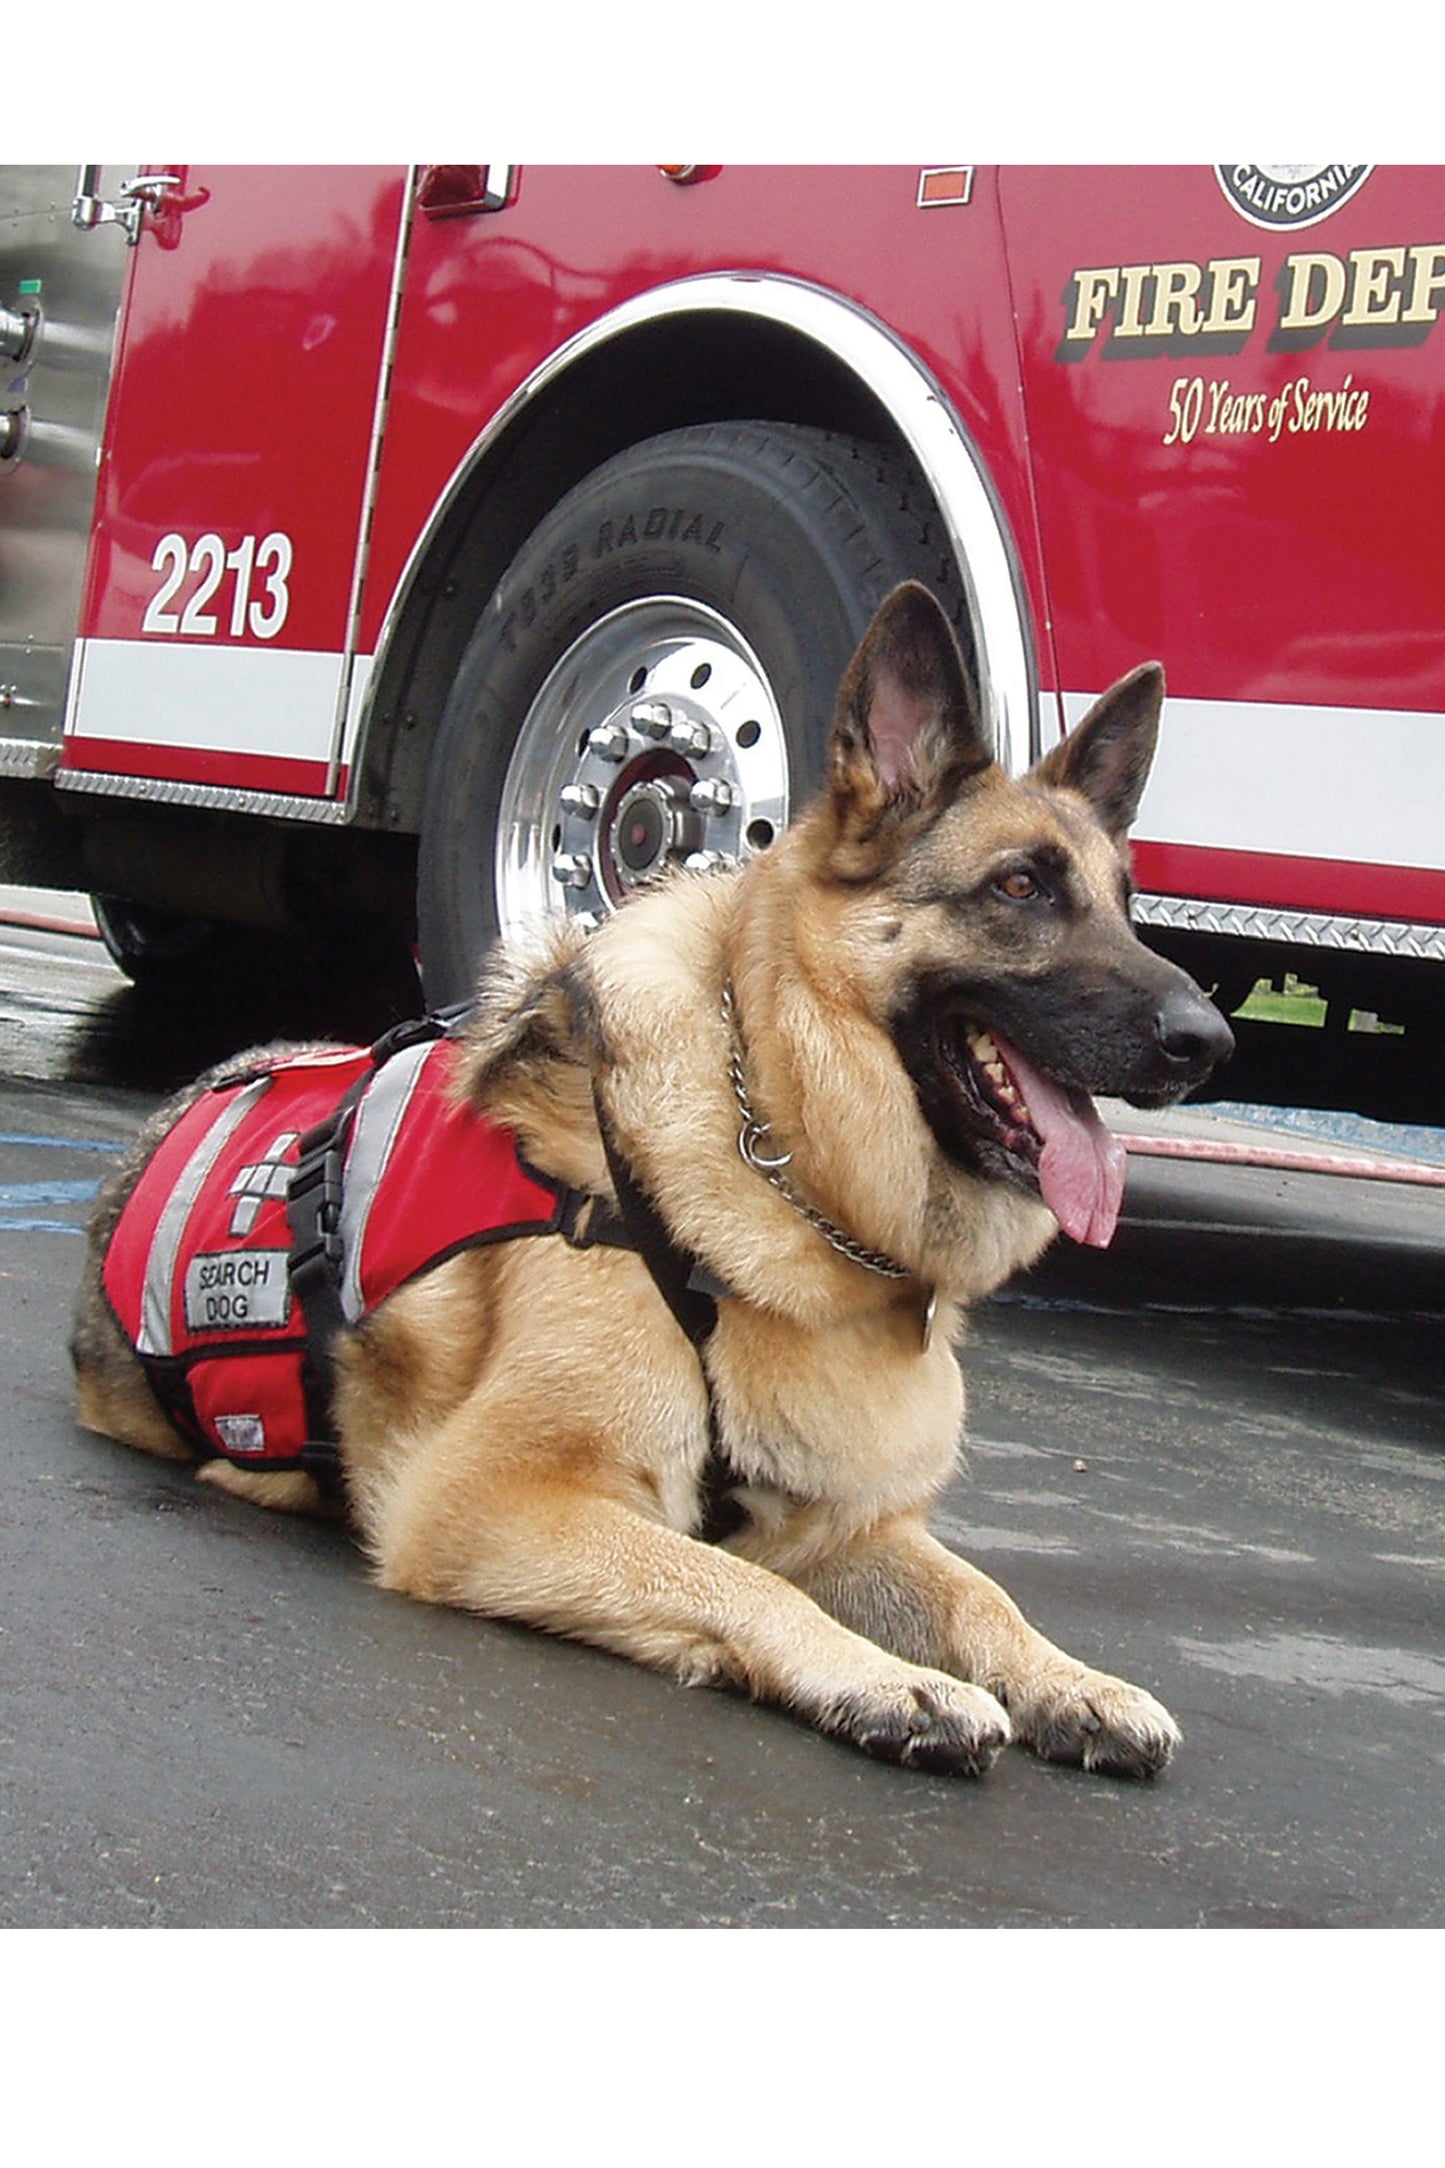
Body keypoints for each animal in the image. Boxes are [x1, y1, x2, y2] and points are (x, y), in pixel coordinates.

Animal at [73, 581, 1230, 1777]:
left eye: (1124, 902)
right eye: (1019, 885)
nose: (1209, 1041)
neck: (772, 1156)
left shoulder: (853, 1530)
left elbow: (978, 1594)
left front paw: (1070, 1679)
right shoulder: (492, 1497)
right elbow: (736, 1576)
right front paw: (888, 1682)